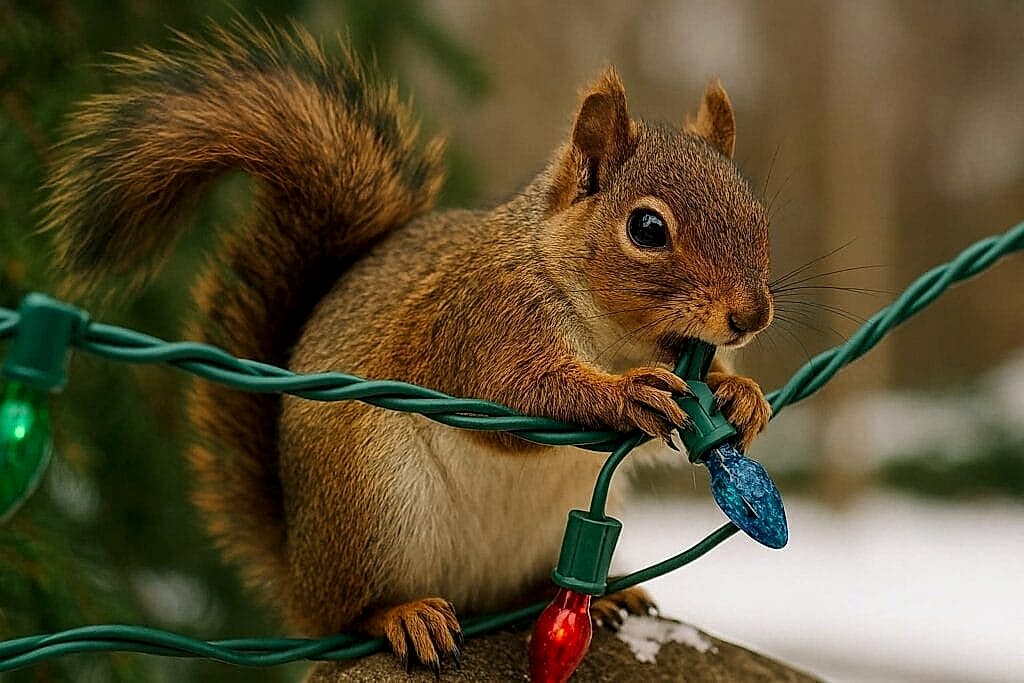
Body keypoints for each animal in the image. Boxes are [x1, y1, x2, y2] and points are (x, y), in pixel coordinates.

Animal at [43, 21, 773, 673]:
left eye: (758, 214)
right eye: (646, 228)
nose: (751, 315)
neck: (616, 334)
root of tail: (299, 573)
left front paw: (742, 395)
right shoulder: (481, 323)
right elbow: (514, 394)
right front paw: (628, 395)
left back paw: (605, 594)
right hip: (367, 500)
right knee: (351, 612)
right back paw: (403, 615)